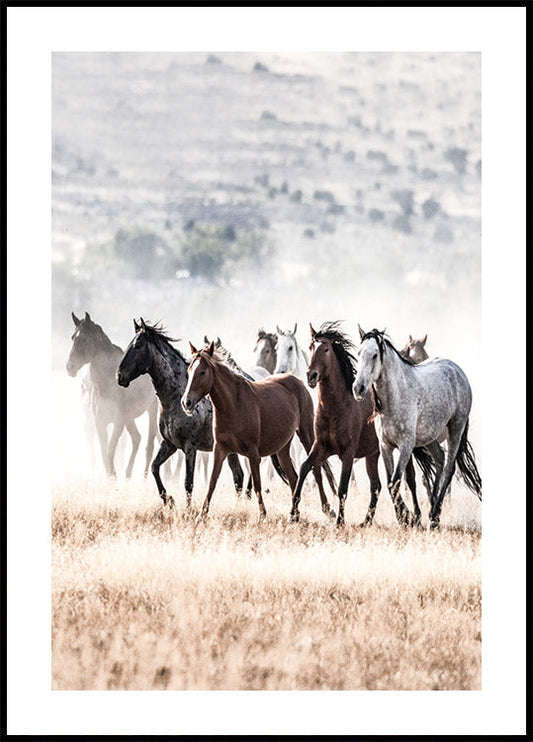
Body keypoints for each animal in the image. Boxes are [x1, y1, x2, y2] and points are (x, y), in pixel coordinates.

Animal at [66, 312, 158, 476]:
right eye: (72, 337)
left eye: (84, 339)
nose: (69, 367)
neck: (106, 384)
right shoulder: (100, 423)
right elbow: (104, 455)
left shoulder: (118, 422)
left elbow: (110, 452)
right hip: (129, 418)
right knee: (136, 438)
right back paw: (127, 475)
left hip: (151, 410)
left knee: (149, 446)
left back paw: (143, 477)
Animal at [116, 322, 243, 512]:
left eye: (138, 345)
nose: (119, 376)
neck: (176, 398)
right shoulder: (169, 444)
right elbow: (154, 468)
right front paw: (169, 500)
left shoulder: (190, 447)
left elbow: (188, 483)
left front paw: (188, 511)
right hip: (230, 450)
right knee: (238, 476)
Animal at [181, 342, 334, 524]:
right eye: (189, 371)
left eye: (202, 372)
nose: (186, 402)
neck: (234, 405)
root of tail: (298, 381)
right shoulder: (220, 449)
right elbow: (212, 481)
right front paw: (201, 516)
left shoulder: (253, 454)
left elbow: (256, 485)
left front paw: (263, 516)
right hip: (282, 448)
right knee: (294, 477)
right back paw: (295, 514)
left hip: (306, 434)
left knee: (316, 469)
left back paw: (328, 510)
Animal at [286, 322, 382, 528]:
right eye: (311, 347)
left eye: (326, 349)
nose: (311, 375)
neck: (337, 408)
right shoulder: (320, 447)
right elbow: (304, 469)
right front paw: (292, 514)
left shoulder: (348, 453)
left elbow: (342, 487)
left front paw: (340, 522)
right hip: (373, 454)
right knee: (376, 486)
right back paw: (366, 522)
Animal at [354, 330, 482, 528]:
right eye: (359, 353)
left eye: (375, 355)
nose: (358, 388)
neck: (396, 396)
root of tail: (457, 371)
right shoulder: (385, 446)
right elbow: (391, 483)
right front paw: (407, 518)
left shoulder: (406, 446)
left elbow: (396, 481)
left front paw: (407, 518)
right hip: (431, 436)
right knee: (439, 458)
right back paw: (432, 510)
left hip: (455, 428)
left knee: (449, 468)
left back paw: (435, 517)